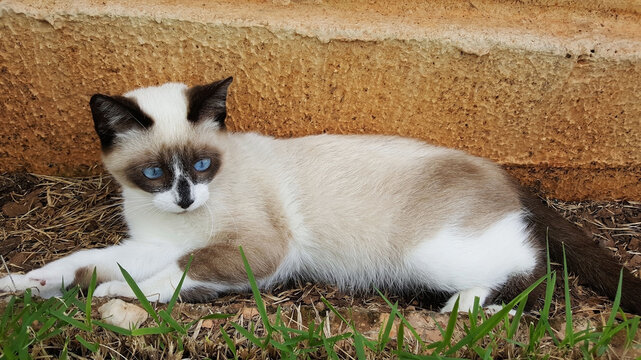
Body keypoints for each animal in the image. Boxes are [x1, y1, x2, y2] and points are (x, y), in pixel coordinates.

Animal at [1, 77, 640, 314]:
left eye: (203, 165)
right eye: (153, 174)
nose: (185, 200)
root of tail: (503, 174)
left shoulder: (257, 250)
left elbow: (174, 274)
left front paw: (113, 295)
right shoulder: (150, 243)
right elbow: (79, 262)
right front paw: (22, 287)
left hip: (430, 255)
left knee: (533, 271)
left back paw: (463, 307)